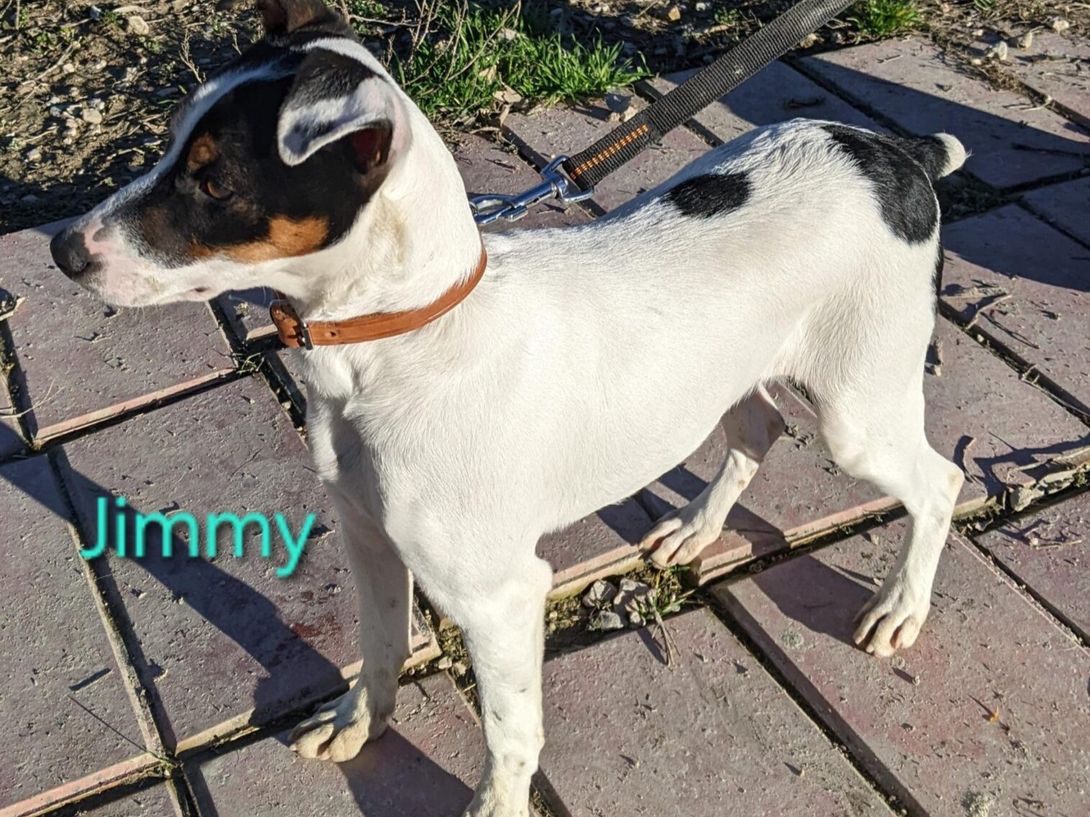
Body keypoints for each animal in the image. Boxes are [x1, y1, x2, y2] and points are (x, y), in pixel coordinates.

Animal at [48, 1, 966, 814]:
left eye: (214, 180)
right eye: (170, 143)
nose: (62, 250)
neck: (402, 340)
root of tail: (894, 150)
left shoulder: (503, 595)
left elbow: (510, 729)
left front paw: (497, 801)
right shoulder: (368, 535)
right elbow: (380, 646)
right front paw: (359, 723)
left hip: (857, 412)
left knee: (941, 482)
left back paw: (900, 607)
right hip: (734, 377)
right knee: (760, 424)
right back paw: (695, 528)